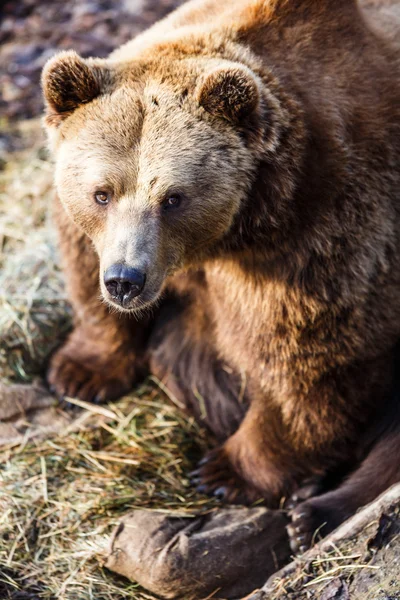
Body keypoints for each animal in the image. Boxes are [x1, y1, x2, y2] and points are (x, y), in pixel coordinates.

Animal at [42, 0, 400, 552]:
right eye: (102, 193)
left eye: (173, 197)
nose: (125, 279)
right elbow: (85, 271)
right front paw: (80, 371)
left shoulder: (322, 237)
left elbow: (310, 362)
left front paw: (226, 472)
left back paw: (312, 511)